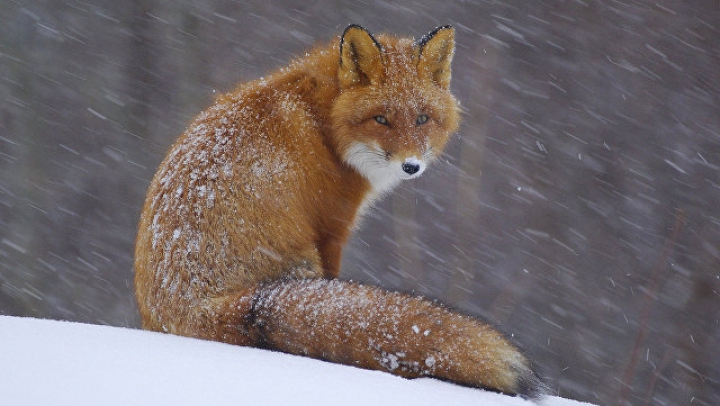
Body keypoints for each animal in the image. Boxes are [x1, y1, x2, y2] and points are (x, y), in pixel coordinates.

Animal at [134, 24, 540, 396]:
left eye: (423, 119)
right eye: (381, 119)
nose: (411, 166)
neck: (324, 122)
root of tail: (195, 308)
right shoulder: (332, 229)